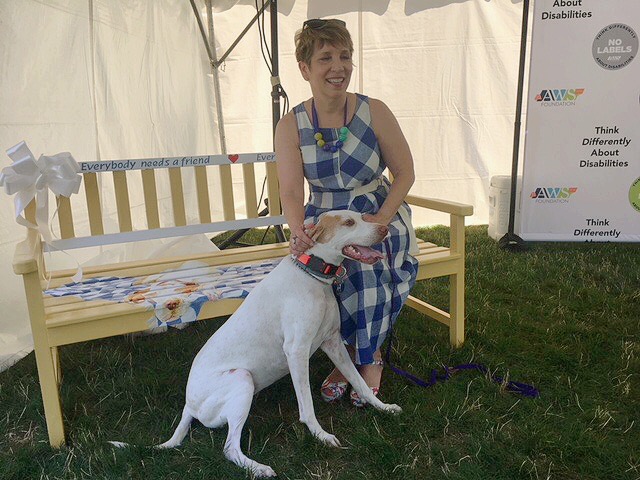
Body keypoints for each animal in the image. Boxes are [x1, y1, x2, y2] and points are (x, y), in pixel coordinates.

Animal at [110, 210, 400, 476]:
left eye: (363, 217)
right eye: (349, 223)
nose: (384, 228)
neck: (312, 276)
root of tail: (188, 406)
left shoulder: (333, 343)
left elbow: (360, 383)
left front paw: (382, 407)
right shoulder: (297, 352)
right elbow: (306, 407)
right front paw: (321, 435)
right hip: (242, 378)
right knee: (229, 449)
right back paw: (259, 468)